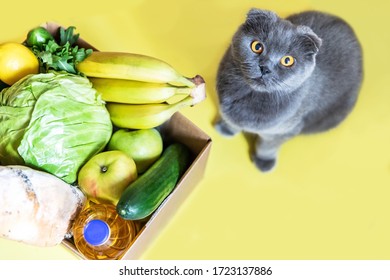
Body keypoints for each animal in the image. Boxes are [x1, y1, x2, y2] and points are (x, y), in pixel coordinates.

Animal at [213, 8, 362, 172]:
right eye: (257, 46)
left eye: (287, 61)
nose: (265, 68)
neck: (250, 95)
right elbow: (230, 120)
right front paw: (225, 129)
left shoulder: (285, 131)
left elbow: (267, 147)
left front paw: (264, 162)